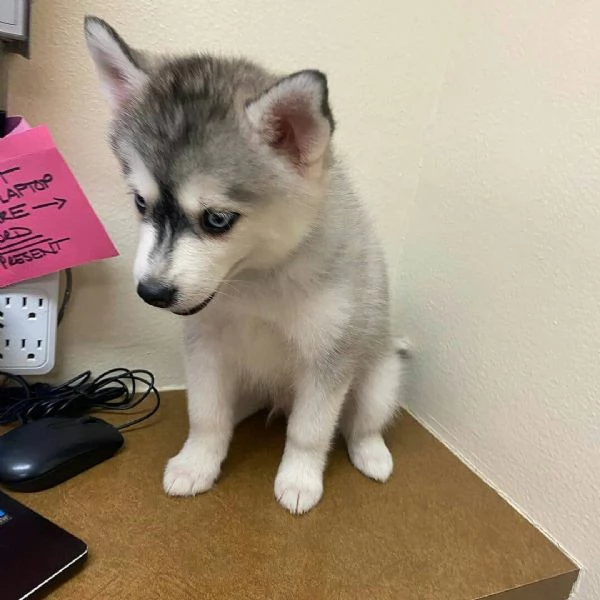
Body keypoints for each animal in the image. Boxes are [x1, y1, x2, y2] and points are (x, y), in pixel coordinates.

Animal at [85, 17, 404, 516]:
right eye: (140, 203)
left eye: (218, 219)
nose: (151, 293)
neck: (255, 279)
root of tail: (277, 400)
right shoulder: (206, 347)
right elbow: (205, 415)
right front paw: (198, 462)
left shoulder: (327, 357)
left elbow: (310, 431)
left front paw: (299, 479)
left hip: (380, 379)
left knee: (360, 421)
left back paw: (371, 453)